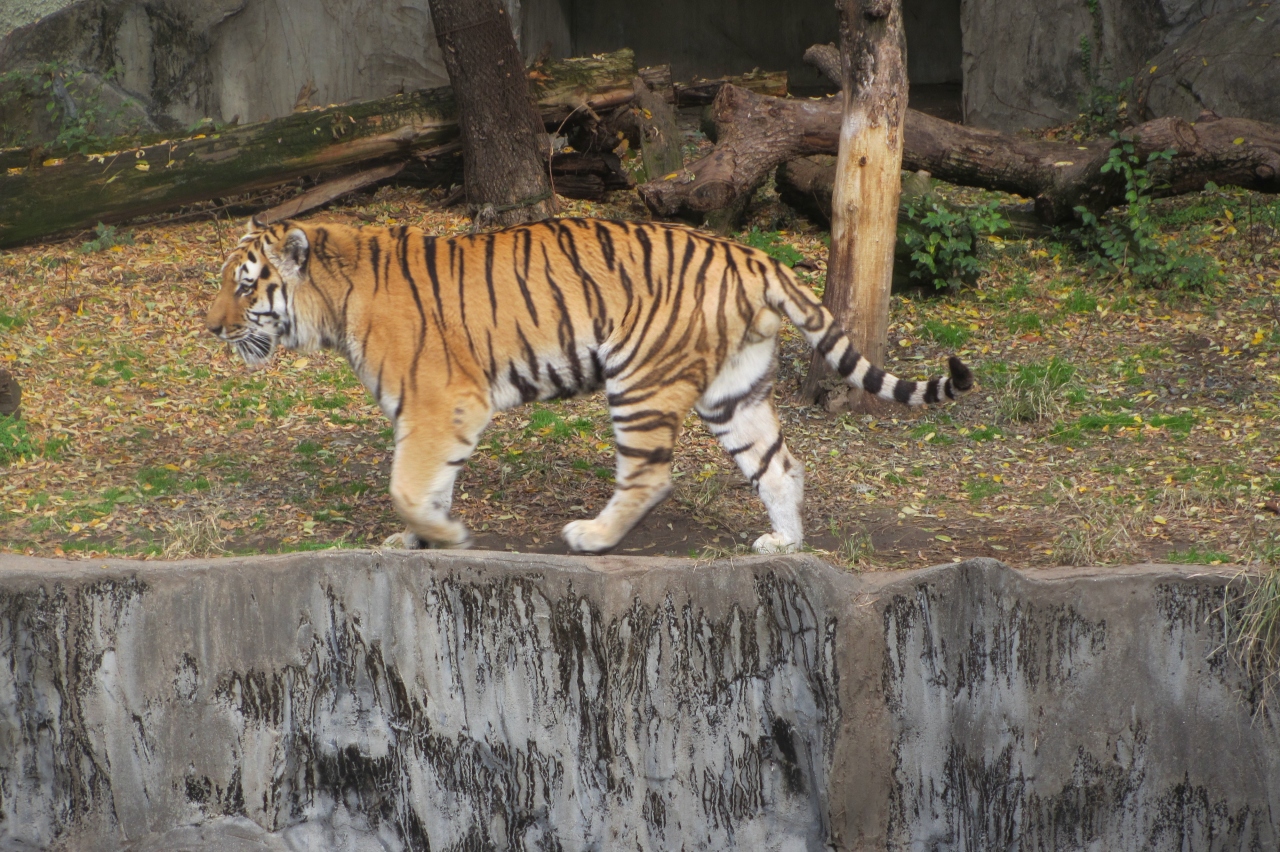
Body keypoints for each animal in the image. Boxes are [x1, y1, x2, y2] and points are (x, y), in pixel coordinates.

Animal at [205, 217, 972, 554]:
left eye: (244, 287)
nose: (211, 328)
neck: (335, 301)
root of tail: (752, 255)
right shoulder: (432, 414)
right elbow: (429, 482)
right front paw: (420, 540)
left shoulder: (442, 402)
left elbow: (408, 484)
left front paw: (445, 536)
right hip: (735, 391)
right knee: (781, 467)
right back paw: (783, 544)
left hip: (640, 380)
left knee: (650, 475)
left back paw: (593, 536)